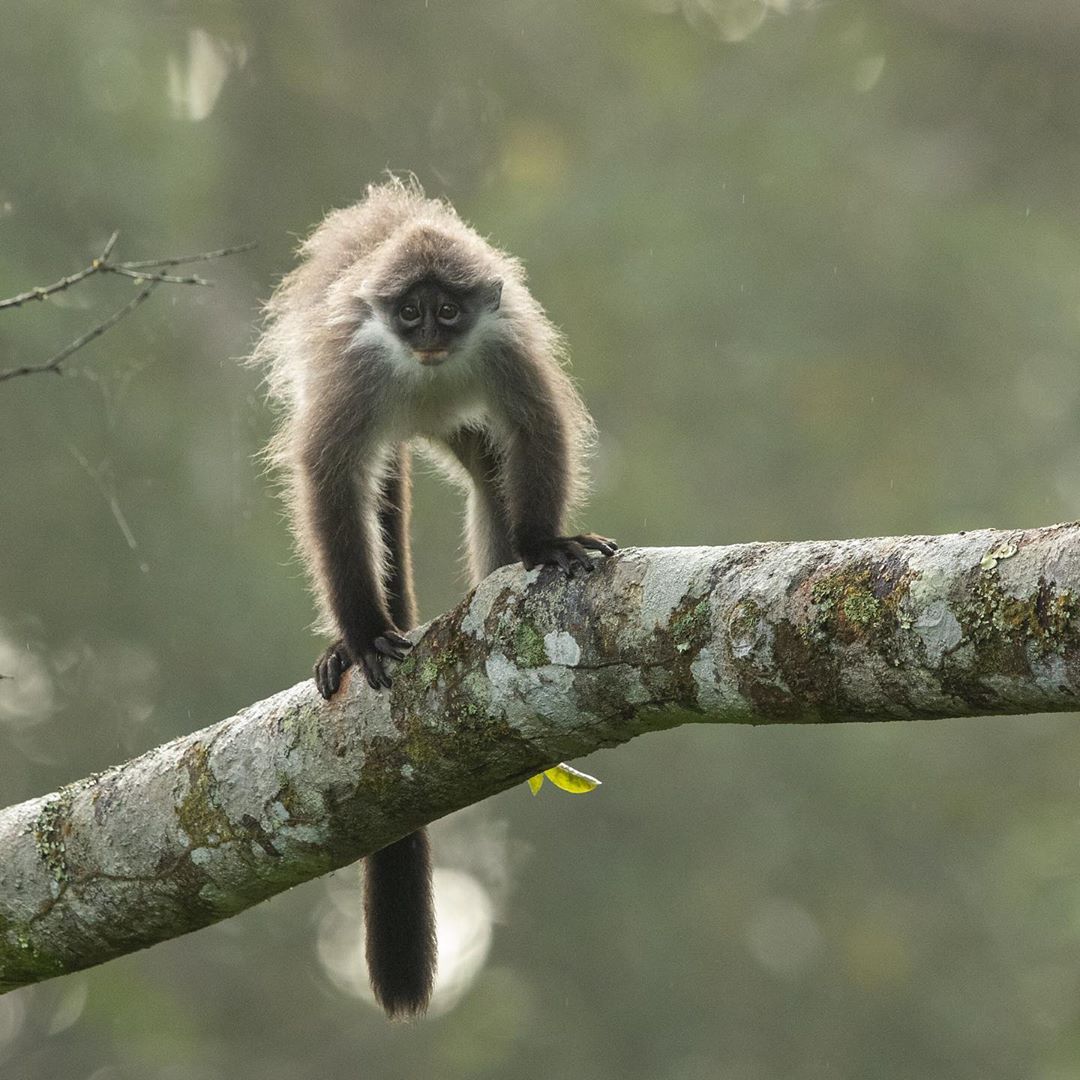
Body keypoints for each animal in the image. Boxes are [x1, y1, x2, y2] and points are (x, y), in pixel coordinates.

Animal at [247, 179, 613, 1019]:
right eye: (410, 311)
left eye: (448, 310)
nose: (428, 337)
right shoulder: (356, 367)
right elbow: (327, 478)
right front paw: (361, 635)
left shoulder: (503, 348)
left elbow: (536, 429)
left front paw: (543, 545)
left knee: (487, 465)